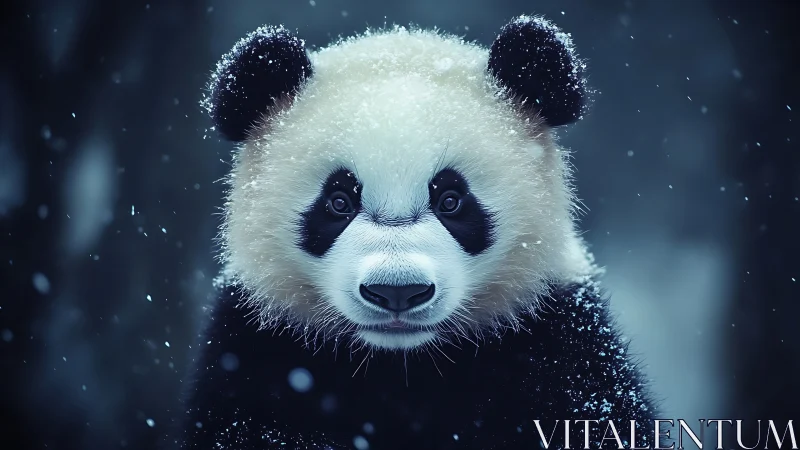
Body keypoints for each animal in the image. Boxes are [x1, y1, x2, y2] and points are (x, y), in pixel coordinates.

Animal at [174, 15, 657, 450]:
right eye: (338, 202)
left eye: (451, 200)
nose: (397, 292)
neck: (402, 367)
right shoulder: (256, 346)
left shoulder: (559, 341)